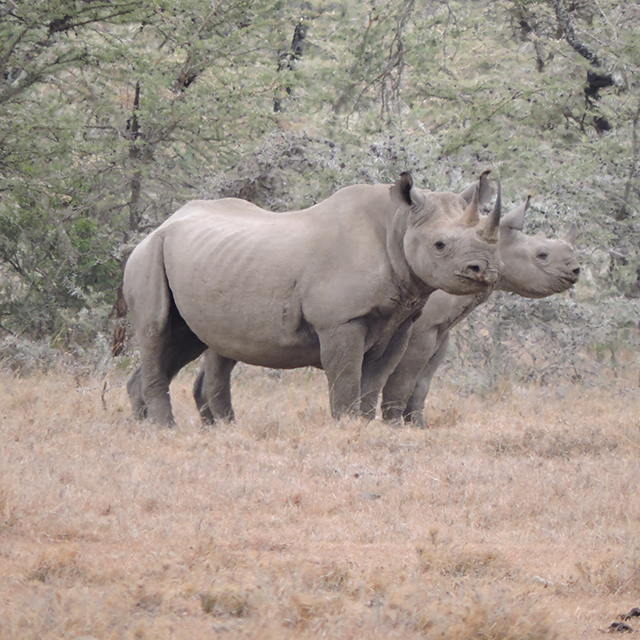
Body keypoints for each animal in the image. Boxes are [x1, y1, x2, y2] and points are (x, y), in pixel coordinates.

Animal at [124, 171, 502, 427]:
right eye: (440, 245)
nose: (485, 270)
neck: (398, 224)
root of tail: (159, 225)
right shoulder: (341, 320)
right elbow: (347, 377)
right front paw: (346, 426)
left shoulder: (401, 320)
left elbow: (375, 380)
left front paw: (366, 426)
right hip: (148, 256)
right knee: (156, 331)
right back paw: (165, 429)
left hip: (202, 259)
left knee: (186, 339)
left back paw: (143, 425)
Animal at [378, 195, 580, 427]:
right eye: (542, 255)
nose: (576, 270)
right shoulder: (423, 326)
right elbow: (406, 375)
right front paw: (399, 424)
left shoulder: (440, 329)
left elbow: (423, 380)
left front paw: (419, 424)